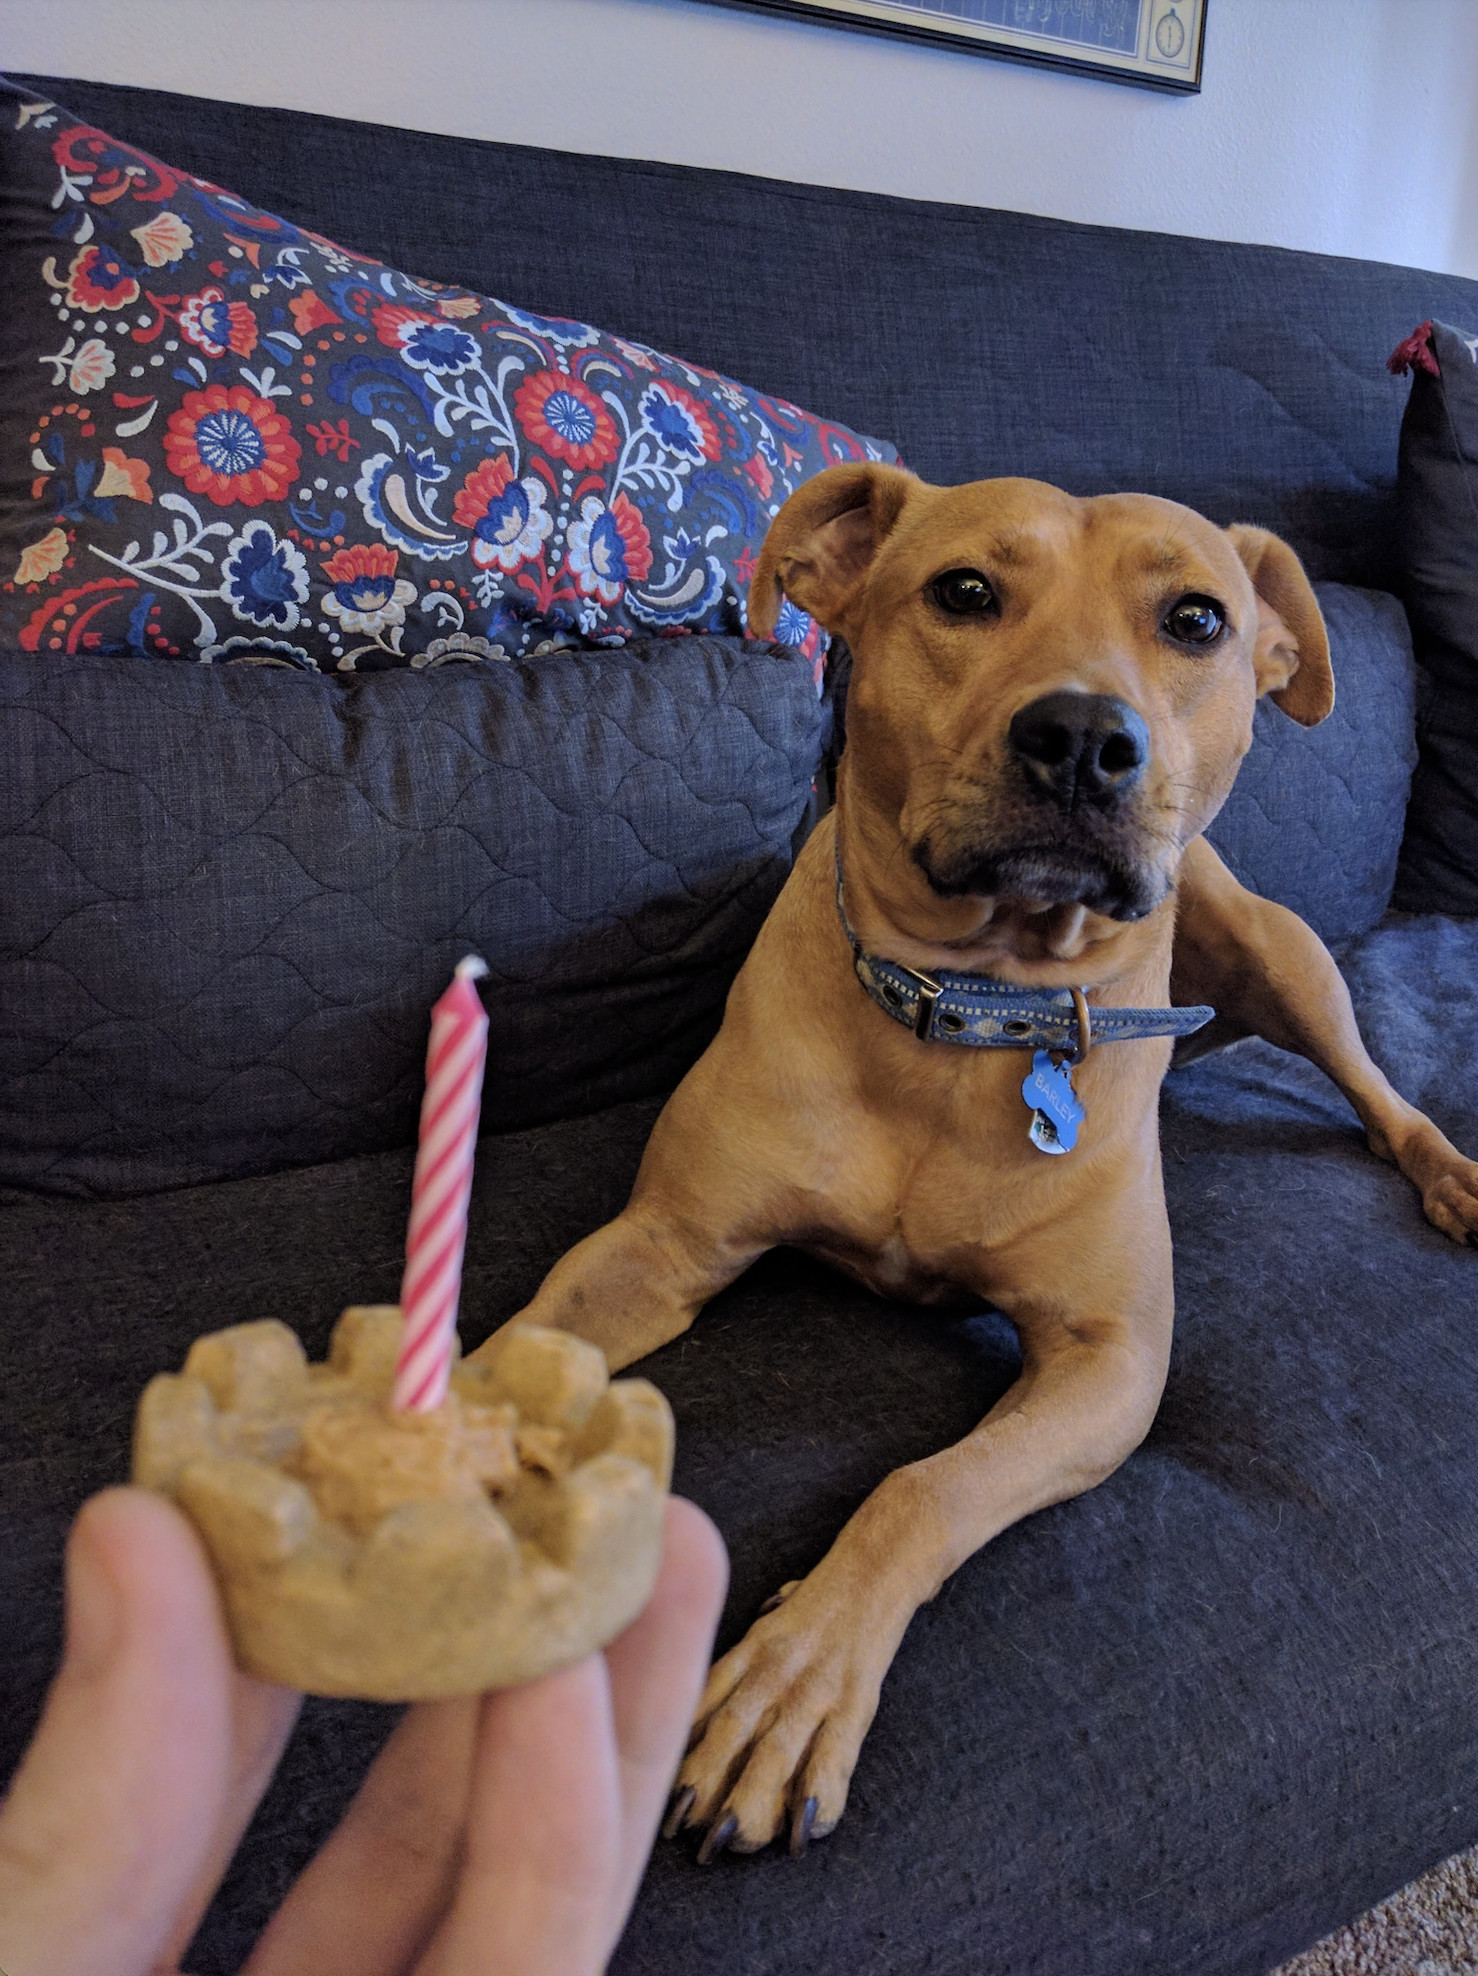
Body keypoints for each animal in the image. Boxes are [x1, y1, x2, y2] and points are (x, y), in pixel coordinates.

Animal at [464, 470, 1478, 1857]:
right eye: (962, 592)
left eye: (1196, 619)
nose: (1082, 735)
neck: (973, 1009)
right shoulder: (660, 1241)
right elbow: (516, 1354)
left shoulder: (1109, 1363)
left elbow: (922, 1489)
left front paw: (798, 1674)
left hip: (1280, 953)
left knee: (1372, 1085)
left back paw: (1446, 1168)